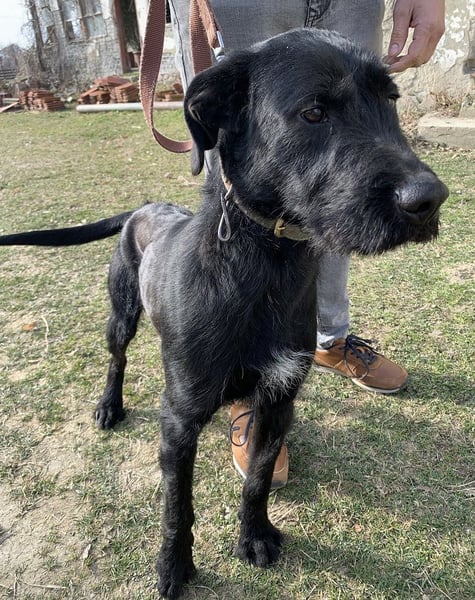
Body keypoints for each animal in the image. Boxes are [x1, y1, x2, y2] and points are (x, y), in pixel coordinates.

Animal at [0, 29, 448, 599]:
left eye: (390, 99)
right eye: (314, 111)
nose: (430, 200)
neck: (267, 266)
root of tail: (144, 208)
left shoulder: (278, 399)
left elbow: (257, 479)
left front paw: (253, 535)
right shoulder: (178, 419)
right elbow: (177, 506)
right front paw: (173, 565)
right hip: (121, 315)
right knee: (117, 359)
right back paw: (108, 405)